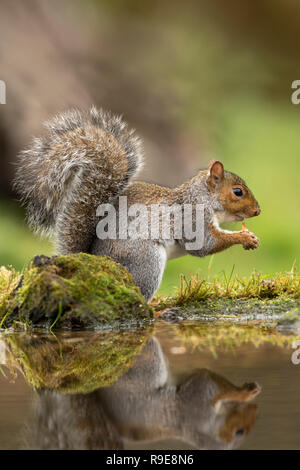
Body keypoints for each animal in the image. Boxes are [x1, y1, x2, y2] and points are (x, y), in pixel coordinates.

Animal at [14, 106, 262, 302]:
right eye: (238, 192)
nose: (258, 211)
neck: (202, 197)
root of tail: (95, 259)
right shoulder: (192, 218)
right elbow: (205, 245)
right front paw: (244, 237)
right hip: (146, 260)